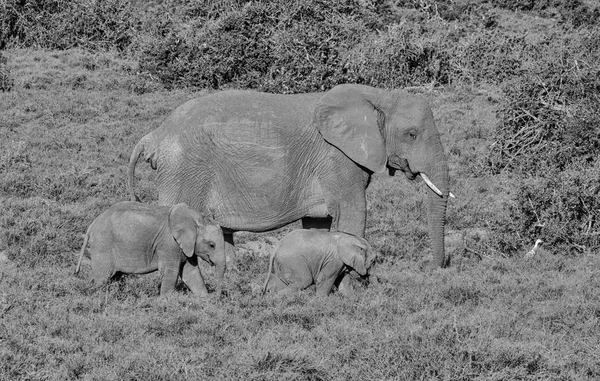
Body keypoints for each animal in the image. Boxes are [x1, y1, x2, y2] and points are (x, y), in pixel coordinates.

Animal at [74, 200, 224, 296]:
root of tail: (92, 224)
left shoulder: (187, 247)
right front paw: (166, 303)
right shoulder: (168, 244)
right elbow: (171, 272)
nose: (217, 296)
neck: (195, 217)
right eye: (212, 245)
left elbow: (191, 273)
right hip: (103, 244)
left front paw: (205, 302)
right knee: (103, 277)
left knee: (113, 277)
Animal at [130, 84, 450, 268]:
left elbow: (317, 224)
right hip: (184, 172)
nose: (434, 268)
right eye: (411, 135)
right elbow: (353, 212)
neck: (378, 96)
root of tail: (154, 136)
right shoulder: (336, 158)